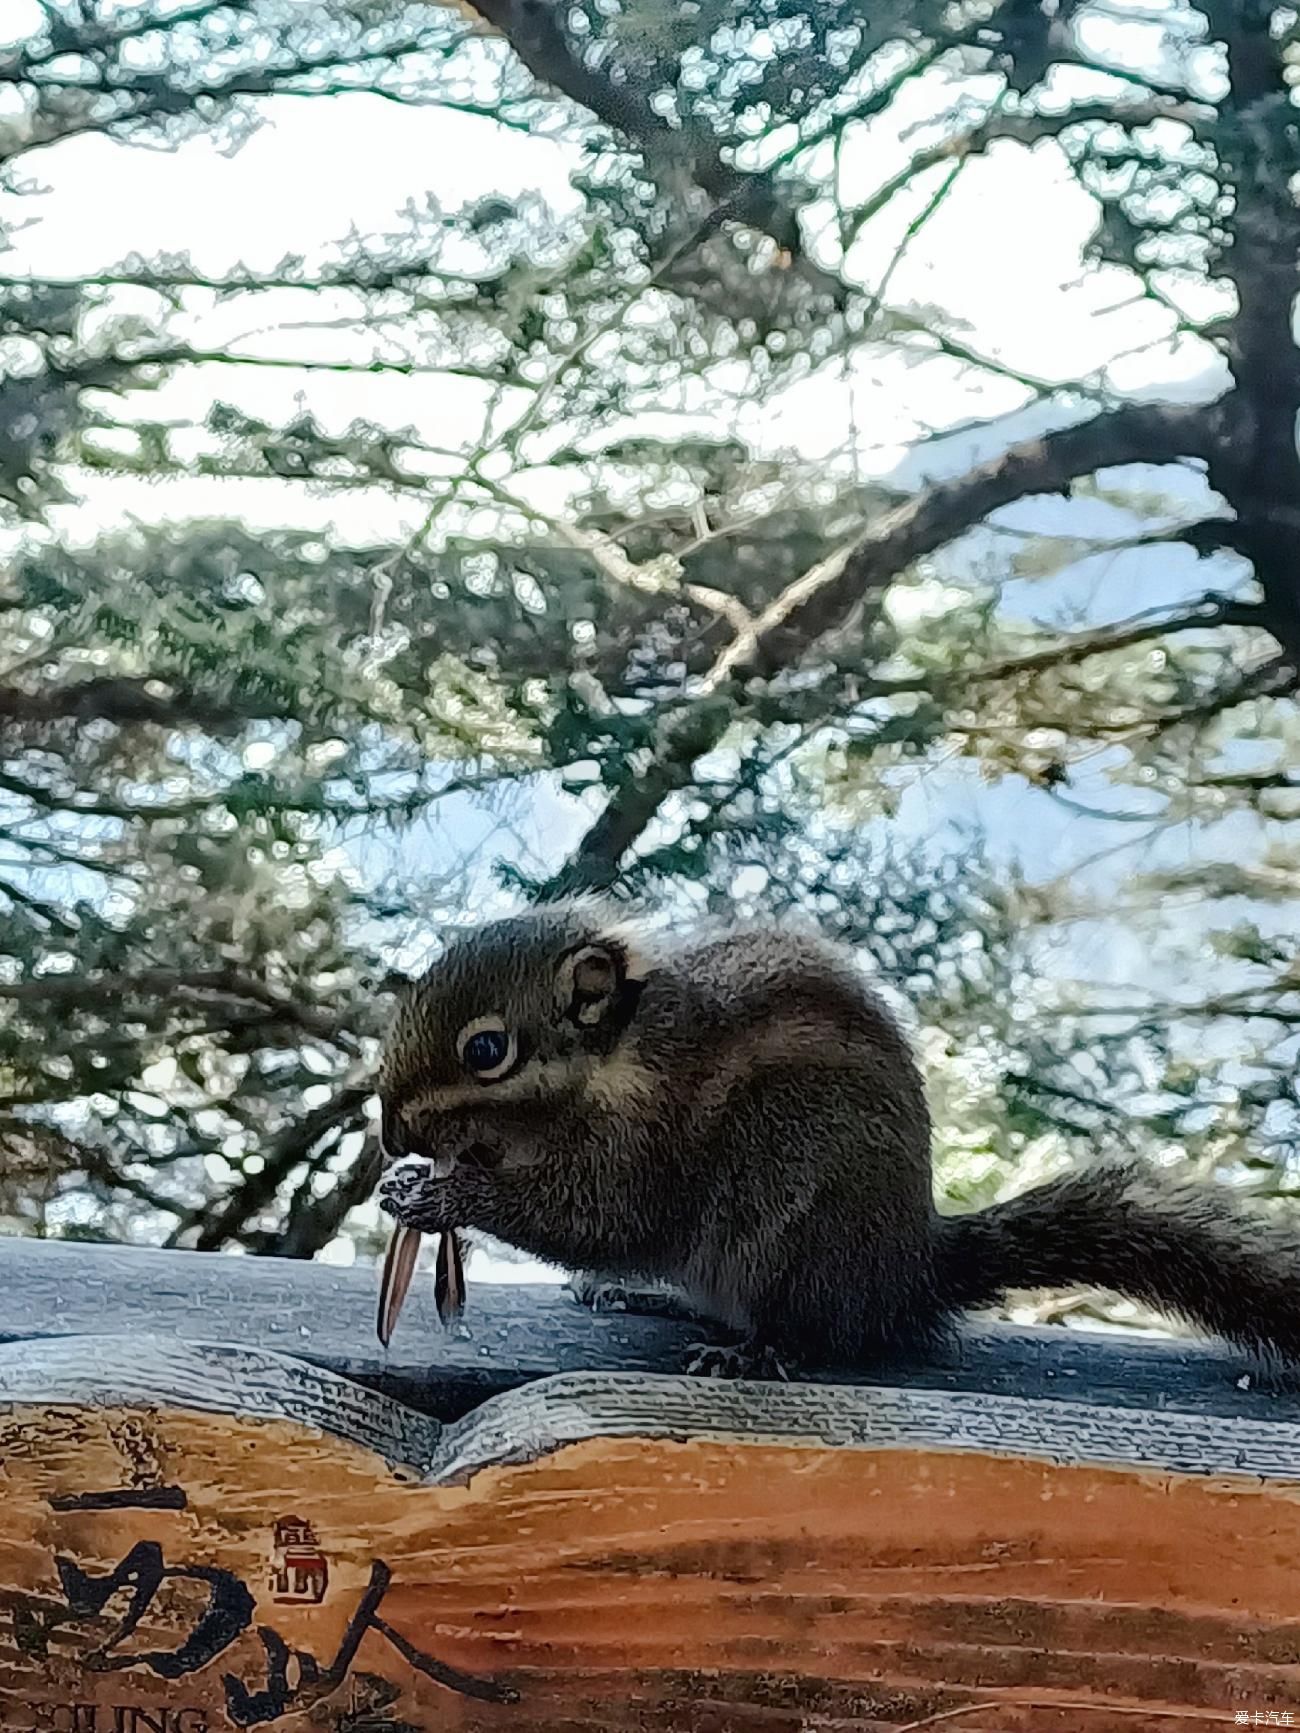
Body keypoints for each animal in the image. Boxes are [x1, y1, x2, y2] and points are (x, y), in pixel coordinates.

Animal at [376, 901, 1300, 1372]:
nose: (388, 1134)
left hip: (794, 1224)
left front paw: (444, 1193)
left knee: (812, 1330)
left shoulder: (643, 1145)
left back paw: (753, 1351)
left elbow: (598, 1218)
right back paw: (650, 1297)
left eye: (486, 1050)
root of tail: (907, 1272)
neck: (610, 1061)